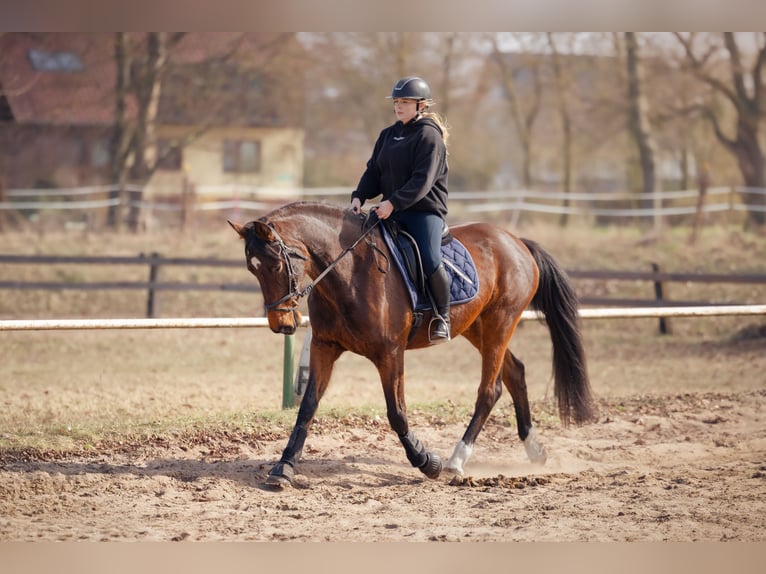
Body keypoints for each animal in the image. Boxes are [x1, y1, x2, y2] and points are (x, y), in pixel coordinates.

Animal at [229, 201, 596, 488]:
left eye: (276, 264)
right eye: (251, 269)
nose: (282, 325)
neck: (348, 271)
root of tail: (516, 241)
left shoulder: (390, 354)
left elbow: (397, 413)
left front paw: (426, 462)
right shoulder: (324, 347)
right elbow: (307, 407)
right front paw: (283, 468)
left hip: (500, 323)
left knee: (489, 390)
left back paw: (456, 461)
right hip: (476, 328)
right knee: (515, 373)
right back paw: (534, 450)